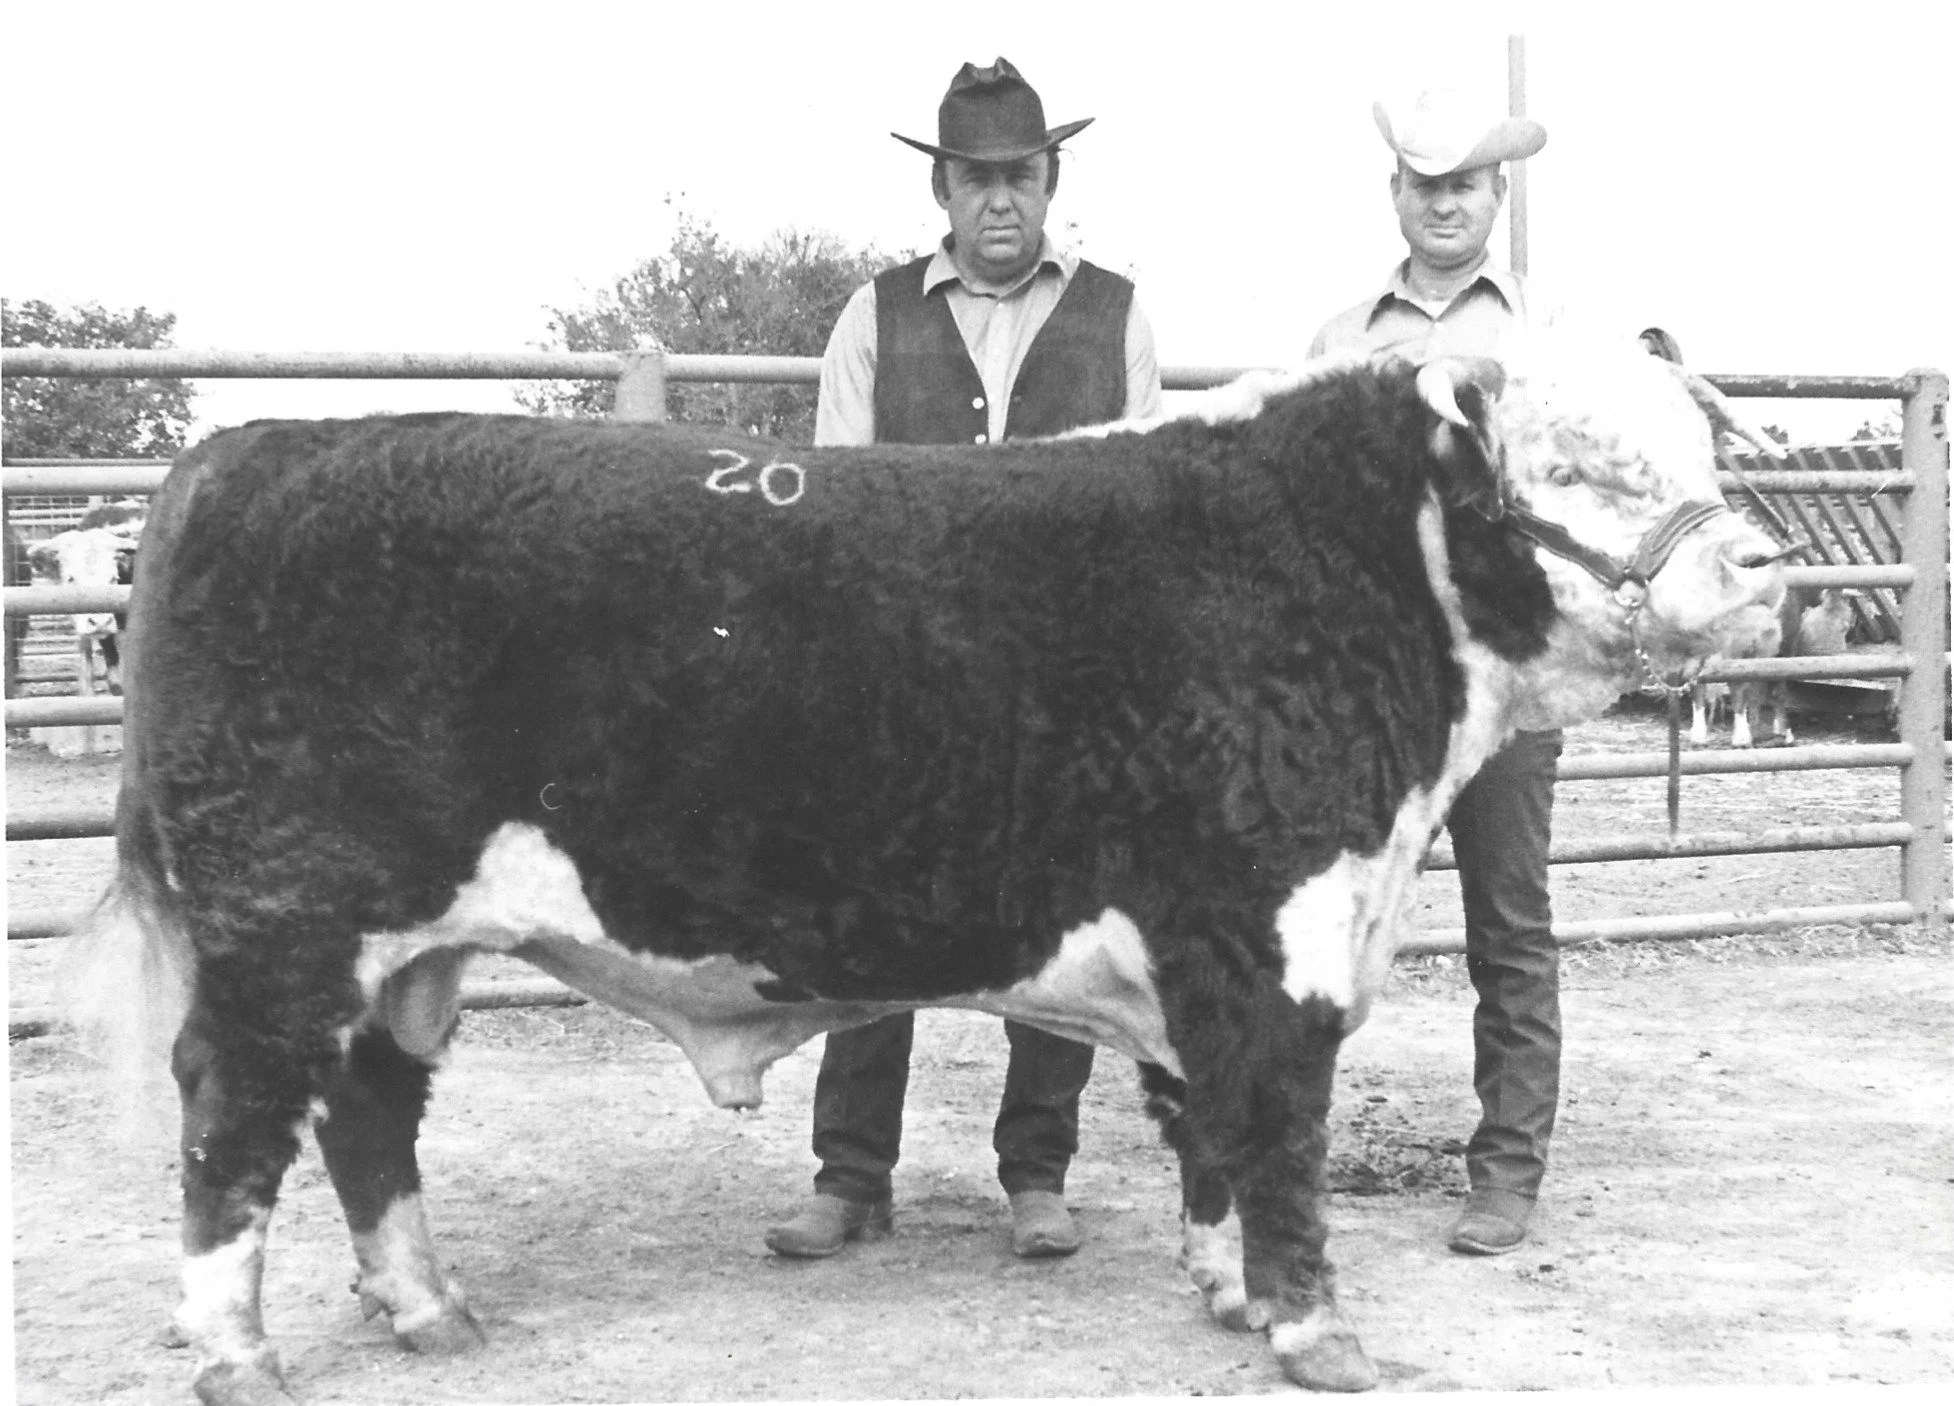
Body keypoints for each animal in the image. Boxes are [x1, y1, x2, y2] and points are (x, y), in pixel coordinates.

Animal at [68, 342, 1786, 1404]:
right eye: (1578, 459)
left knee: (367, 1112)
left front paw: (1226, 1288)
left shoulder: (1213, 947)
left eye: (1697, 440)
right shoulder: (1271, 926)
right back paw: (235, 1350)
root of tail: (245, 446)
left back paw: (430, 1307)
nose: (1758, 565)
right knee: (235, 1122)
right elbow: (1281, 1130)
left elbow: (1210, 1127)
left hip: (399, 952)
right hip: (283, 927)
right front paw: (1312, 1328)